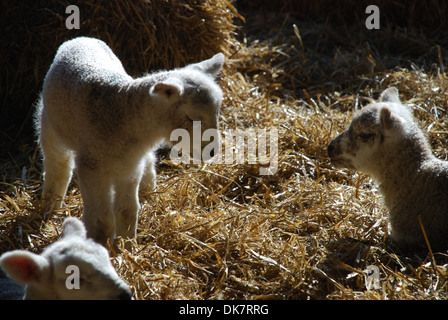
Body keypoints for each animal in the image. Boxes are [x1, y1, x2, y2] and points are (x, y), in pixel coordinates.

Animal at [35, 37, 224, 245]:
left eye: (217, 112)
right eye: (191, 118)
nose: (213, 151)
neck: (124, 114)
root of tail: (81, 39)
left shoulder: (130, 168)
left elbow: (127, 211)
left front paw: (127, 246)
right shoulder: (91, 168)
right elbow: (101, 220)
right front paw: (100, 245)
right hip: (50, 125)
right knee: (58, 165)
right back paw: (51, 205)